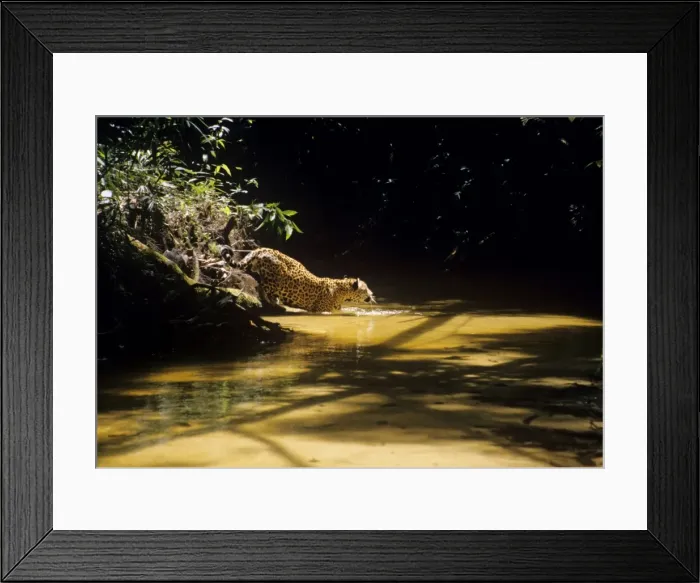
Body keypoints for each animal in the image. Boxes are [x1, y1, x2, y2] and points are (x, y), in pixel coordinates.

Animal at [231, 247, 376, 313]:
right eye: (366, 289)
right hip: (276, 279)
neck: (342, 293)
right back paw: (273, 303)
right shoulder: (322, 311)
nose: (373, 294)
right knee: (261, 286)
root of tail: (264, 249)